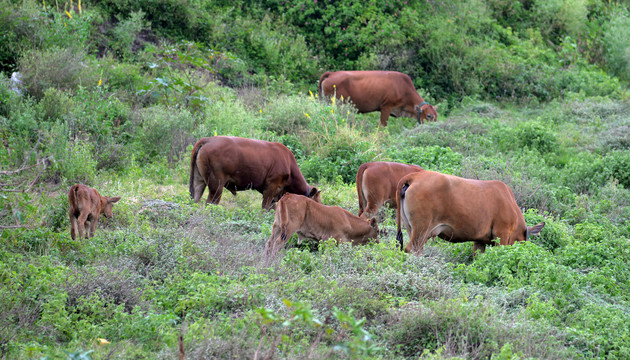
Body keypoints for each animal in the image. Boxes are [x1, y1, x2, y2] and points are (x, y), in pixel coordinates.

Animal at [189, 136, 320, 210]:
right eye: (317, 202)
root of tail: (208, 140)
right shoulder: (271, 186)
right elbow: (265, 207)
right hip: (217, 186)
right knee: (210, 203)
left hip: (199, 181)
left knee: (195, 199)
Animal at [398, 170, 544, 255]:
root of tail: (415, 176)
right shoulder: (501, 235)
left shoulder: (479, 241)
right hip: (421, 231)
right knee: (412, 249)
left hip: (412, 229)